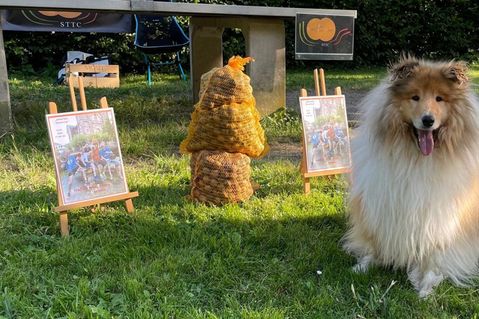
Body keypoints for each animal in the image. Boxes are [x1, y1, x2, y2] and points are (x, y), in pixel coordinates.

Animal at [344, 56, 479, 298]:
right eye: (415, 97)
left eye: (439, 98)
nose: (428, 120)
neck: (416, 159)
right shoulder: (382, 204)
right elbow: (374, 242)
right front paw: (364, 265)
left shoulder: (439, 217)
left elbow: (434, 256)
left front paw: (426, 285)